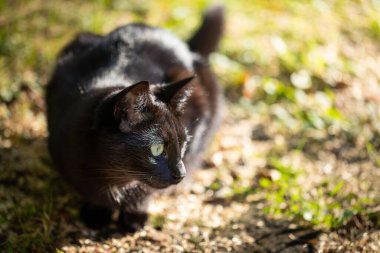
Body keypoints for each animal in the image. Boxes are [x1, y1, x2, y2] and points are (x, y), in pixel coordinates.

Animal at [46, 5, 226, 231]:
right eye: (157, 148)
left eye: (184, 143)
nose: (181, 173)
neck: (115, 178)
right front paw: (97, 214)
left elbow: (145, 191)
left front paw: (134, 217)